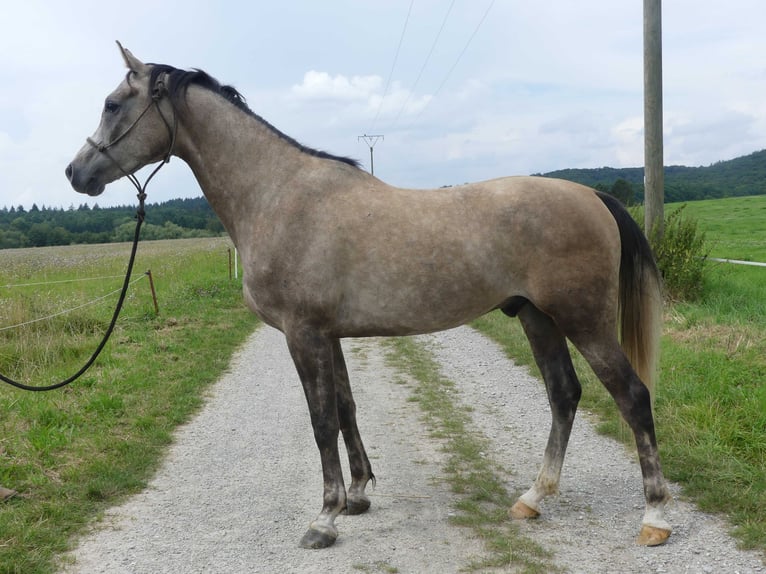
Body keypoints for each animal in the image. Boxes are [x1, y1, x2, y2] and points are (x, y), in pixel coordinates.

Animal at [69, 42, 676, 552]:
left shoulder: (304, 333)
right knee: (564, 395)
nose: (76, 172)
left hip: (583, 320)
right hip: (537, 317)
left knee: (632, 396)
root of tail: (592, 195)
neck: (277, 195)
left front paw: (325, 518)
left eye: (113, 103)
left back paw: (654, 517)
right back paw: (533, 498)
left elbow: (320, 421)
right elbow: (345, 408)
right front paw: (358, 496)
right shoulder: (329, 334)